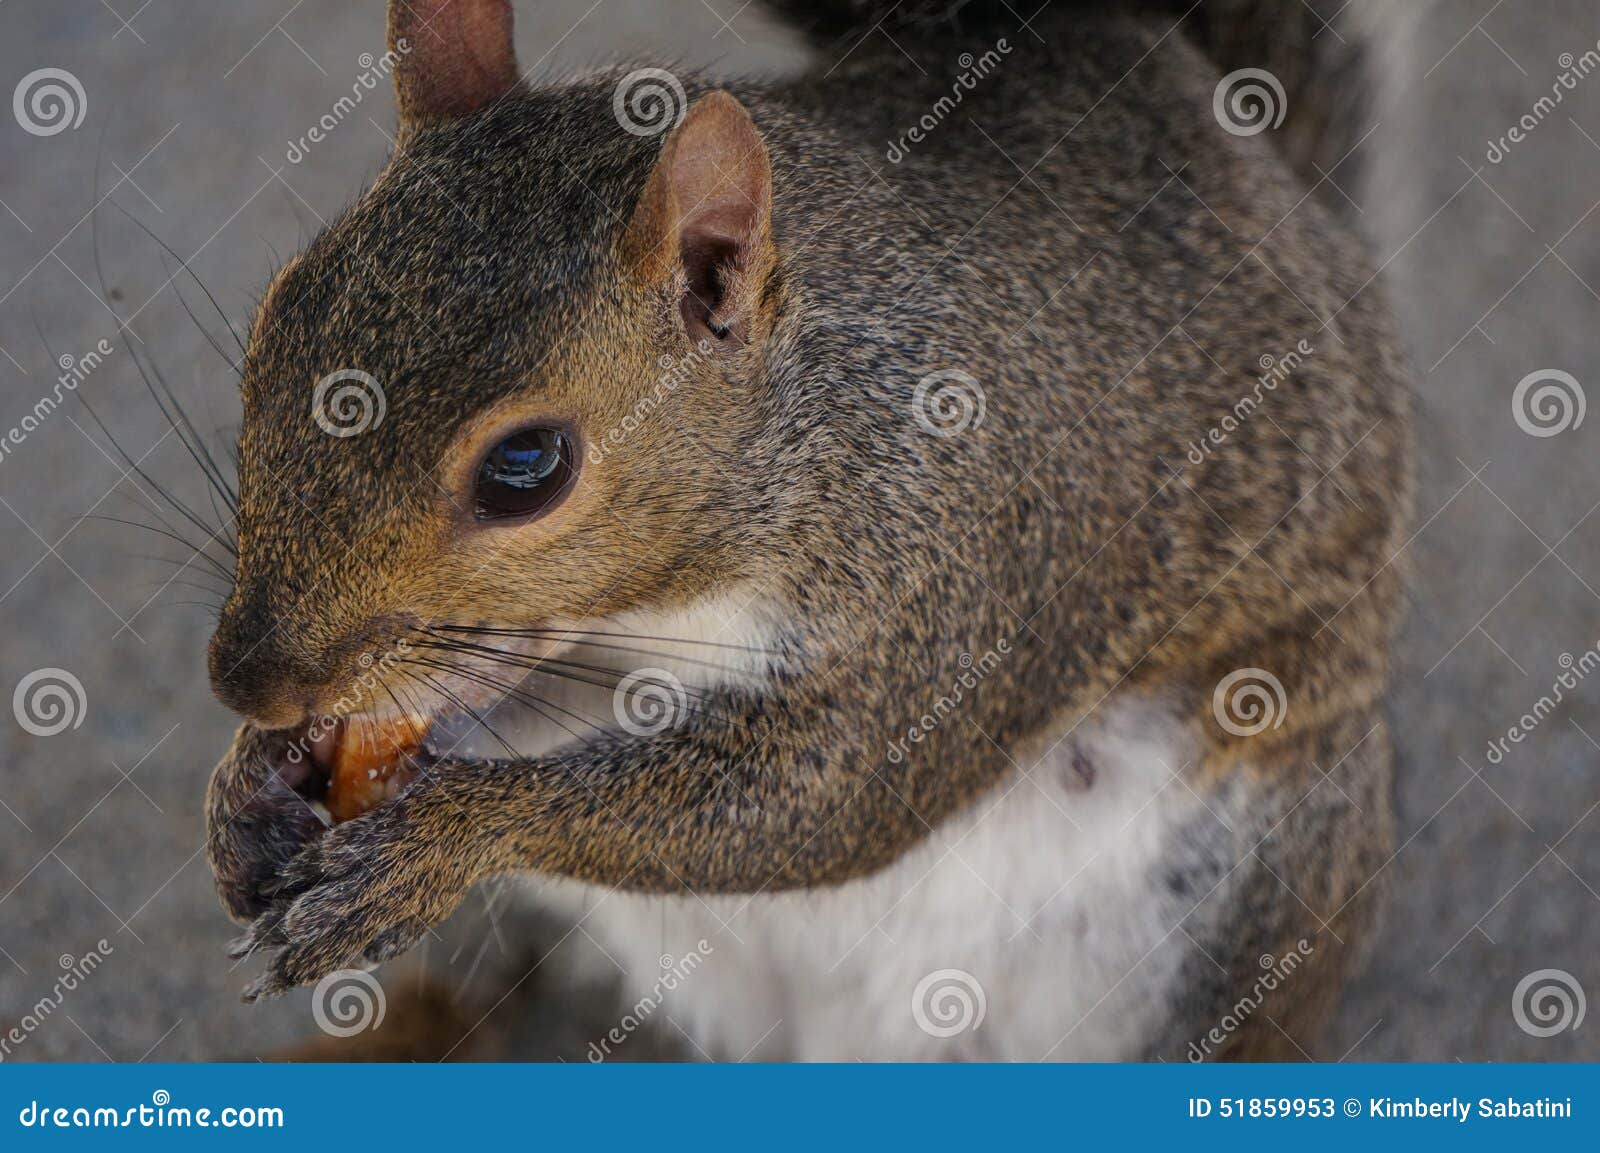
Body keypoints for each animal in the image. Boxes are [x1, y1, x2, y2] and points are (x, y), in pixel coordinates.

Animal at [204, 0, 1411, 1060]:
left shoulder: (968, 569)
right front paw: (251, 783)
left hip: (1256, 878)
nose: (250, 681)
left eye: (526, 467)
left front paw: (442, 836)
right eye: (274, 316)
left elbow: (832, 793)